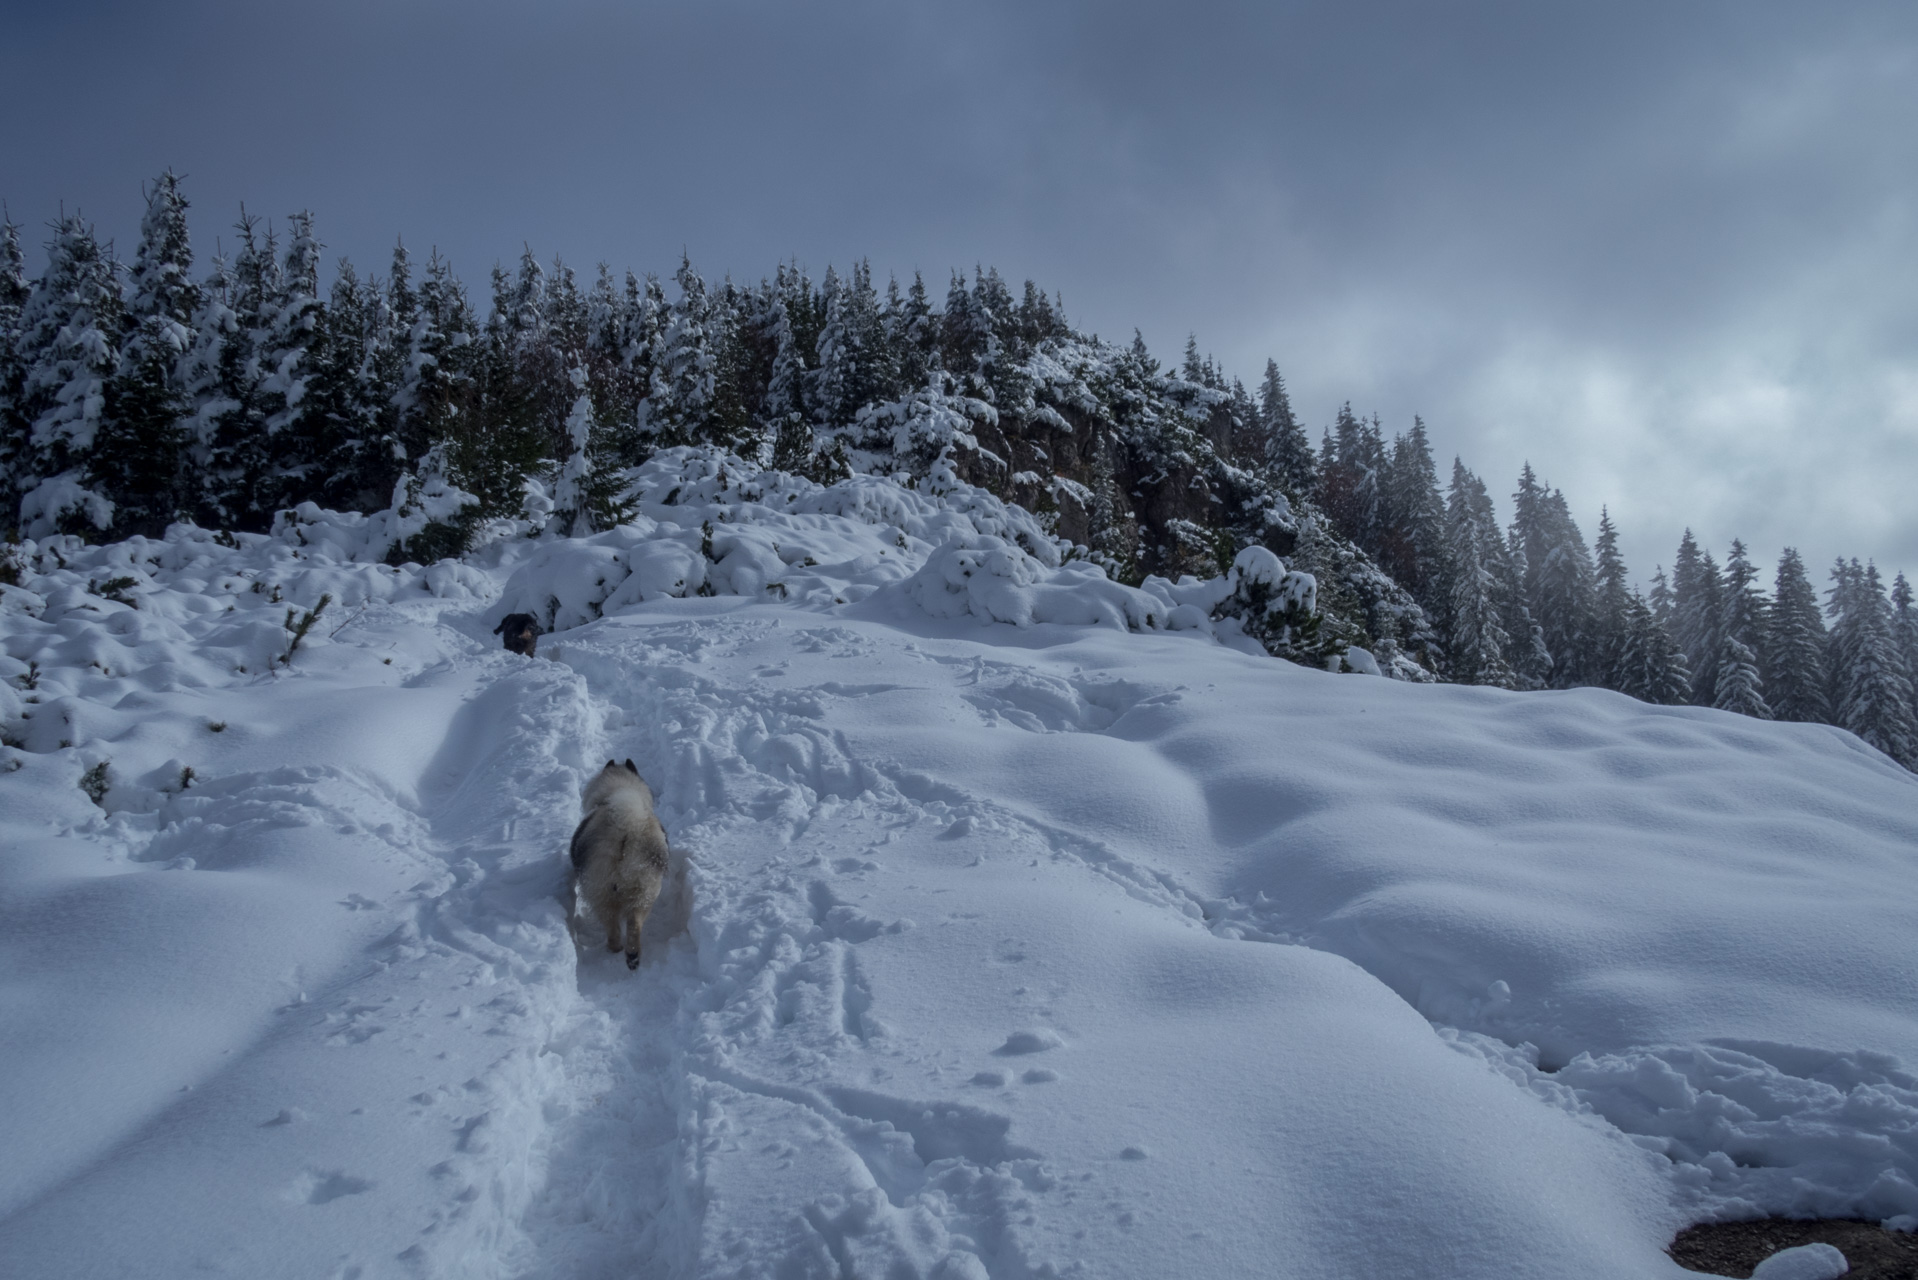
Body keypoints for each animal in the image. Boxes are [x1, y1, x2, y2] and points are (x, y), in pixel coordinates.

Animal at [563, 759, 671, 971]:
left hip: (600, 890)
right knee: (634, 923)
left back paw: (615, 948)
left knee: (612, 926)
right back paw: (632, 956)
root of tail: (628, 828)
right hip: (645, 889)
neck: (619, 787)